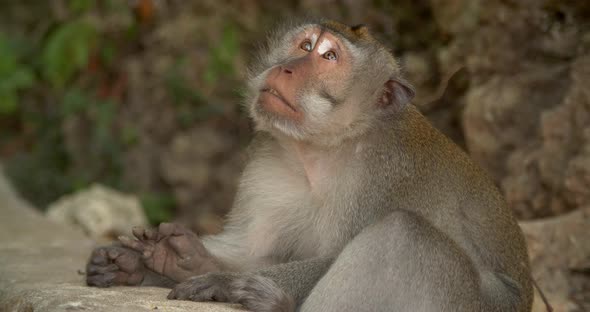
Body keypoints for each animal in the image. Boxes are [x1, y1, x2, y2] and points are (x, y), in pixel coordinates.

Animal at [85, 19, 536, 312]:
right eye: (305, 47)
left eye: (329, 57)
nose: (287, 67)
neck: (324, 148)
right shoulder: (266, 158)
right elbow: (254, 250)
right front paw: (169, 259)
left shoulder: (387, 174)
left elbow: (337, 253)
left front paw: (221, 282)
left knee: (404, 235)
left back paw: (277, 303)